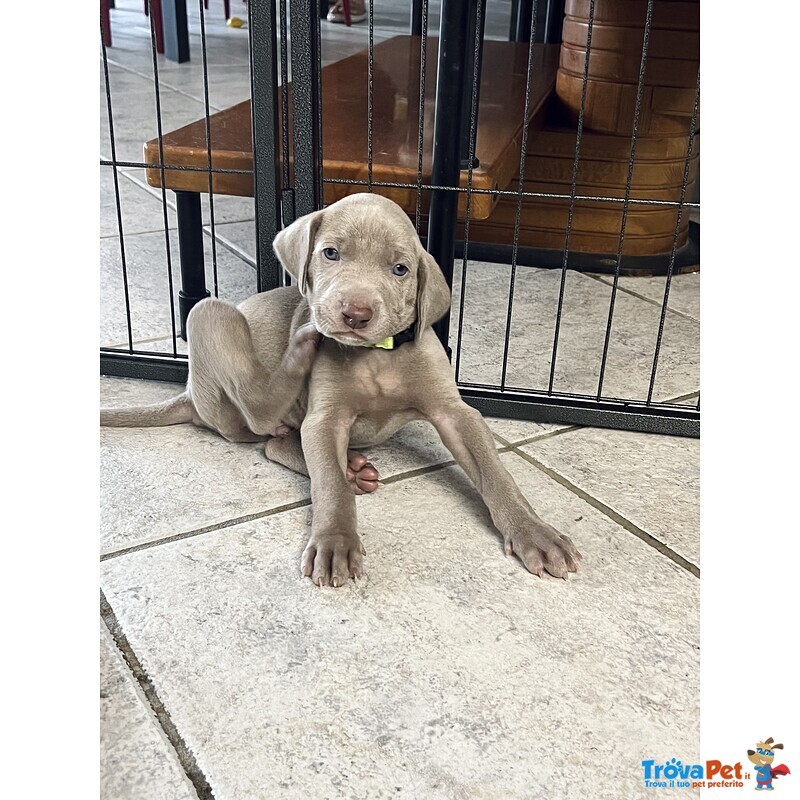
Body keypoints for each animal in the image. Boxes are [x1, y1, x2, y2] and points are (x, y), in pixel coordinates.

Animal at [103, 191, 584, 584]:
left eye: (400, 269)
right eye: (330, 253)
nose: (355, 313)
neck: (376, 355)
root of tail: (189, 394)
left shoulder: (455, 413)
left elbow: (495, 473)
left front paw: (534, 532)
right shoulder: (326, 418)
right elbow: (329, 484)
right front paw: (335, 541)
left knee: (276, 439)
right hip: (209, 315)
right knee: (263, 421)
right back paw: (302, 358)